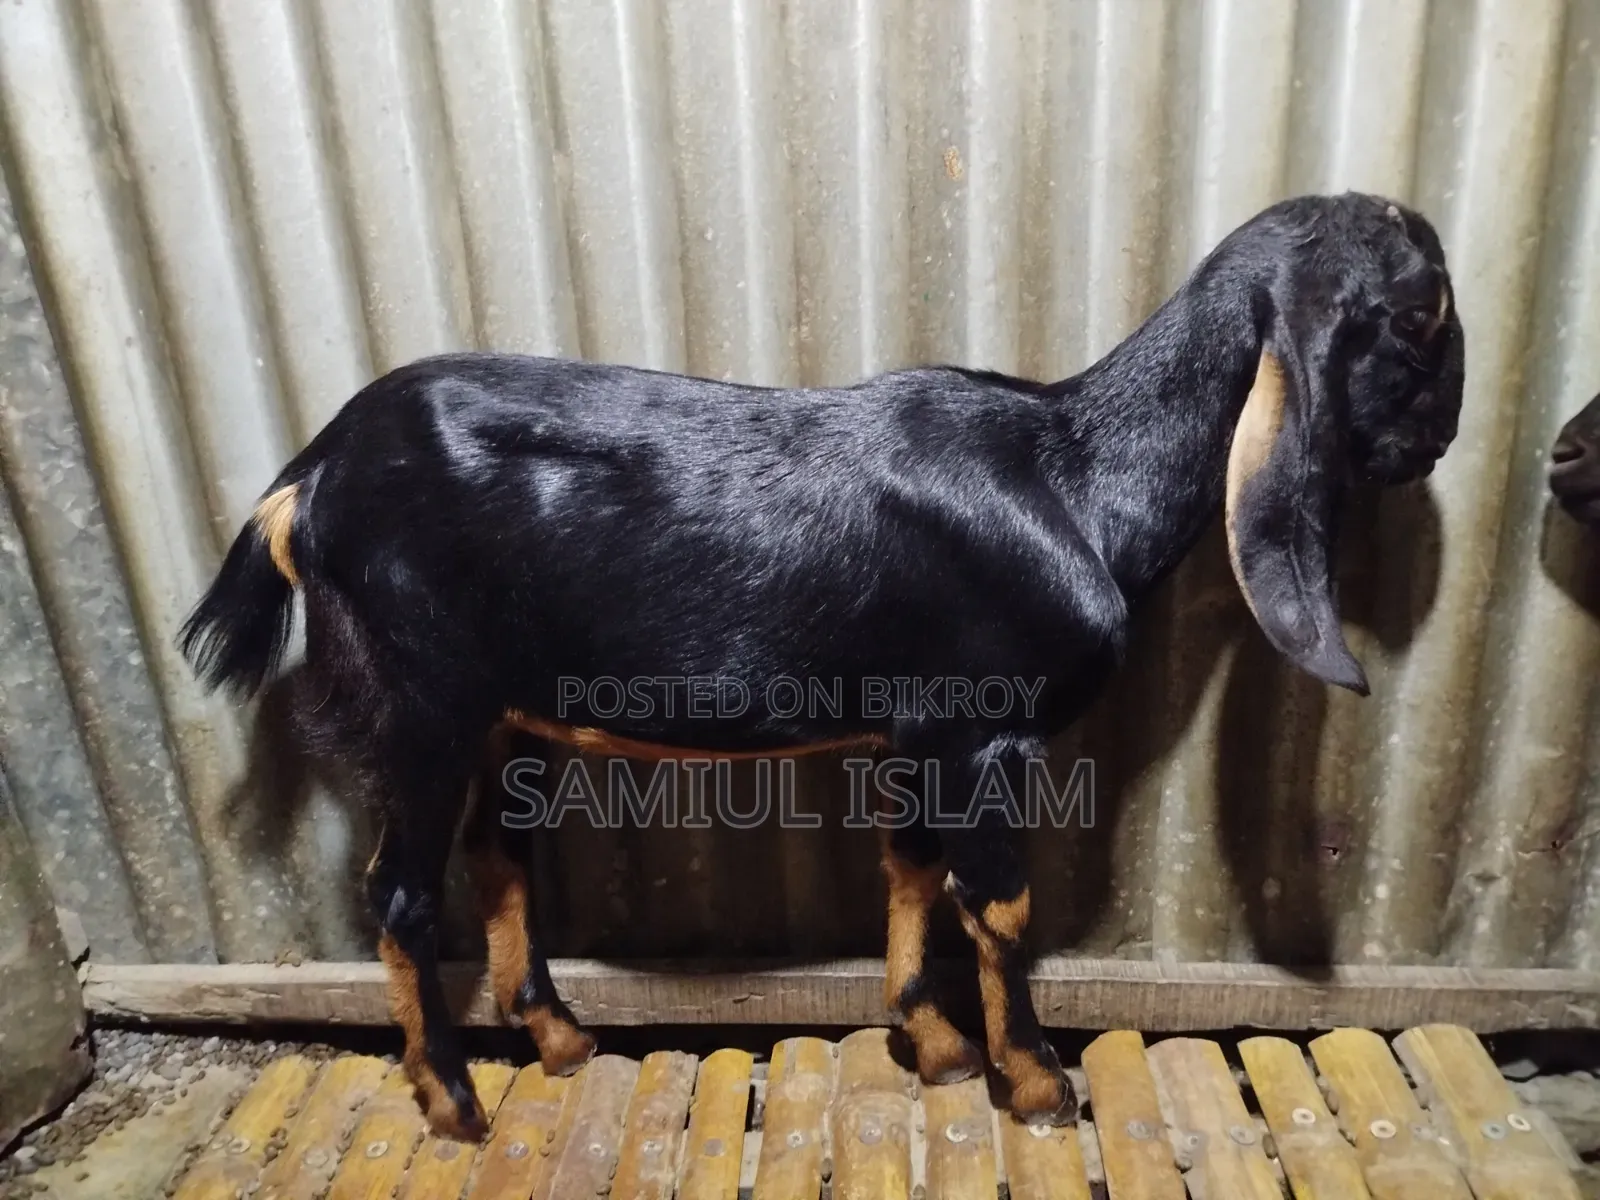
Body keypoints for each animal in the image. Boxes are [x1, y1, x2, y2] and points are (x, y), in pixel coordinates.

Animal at [179, 191, 1464, 1140]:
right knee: (399, 894)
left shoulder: (919, 729)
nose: (1440, 441)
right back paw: (452, 1102)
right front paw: (1036, 1084)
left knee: (501, 858)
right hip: (424, 701)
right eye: (1421, 316)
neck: (1076, 477)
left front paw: (932, 1047)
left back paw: (558, 1039)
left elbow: (908, 870)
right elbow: (996, 899)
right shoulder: (982, 728)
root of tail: (306, 481)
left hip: (503, 714)